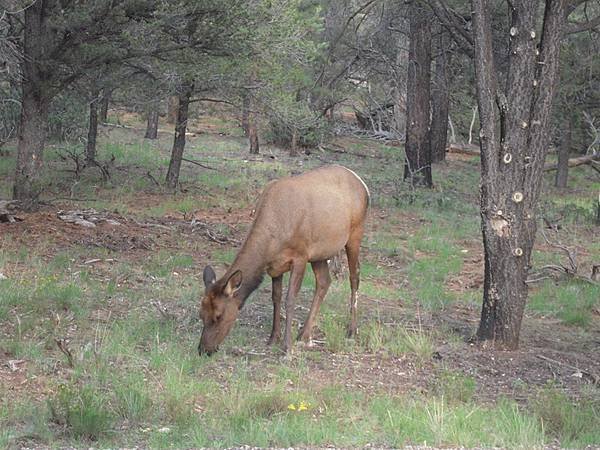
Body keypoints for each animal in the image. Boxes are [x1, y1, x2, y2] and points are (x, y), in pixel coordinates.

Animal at [199, 165, 368, 356]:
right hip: (320, 253)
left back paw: (351, 331)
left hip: (355, 233)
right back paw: (304, 335)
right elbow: (276, 297)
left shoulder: (300, 256)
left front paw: (287, 348)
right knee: (325, 281)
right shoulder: (274, 266)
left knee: (354, 277)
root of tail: (362, 184)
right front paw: (273, 338)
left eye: (219, 315)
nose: (203, 350)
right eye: (201, 314)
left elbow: (290, 299)